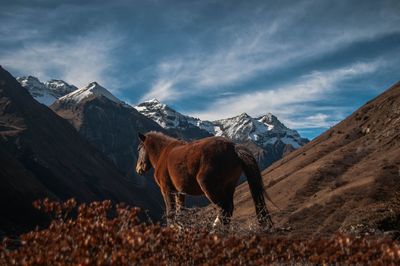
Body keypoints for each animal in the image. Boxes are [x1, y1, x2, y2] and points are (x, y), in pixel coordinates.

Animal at [136, 132, 274, 228]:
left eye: (139, 149)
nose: (138, 169)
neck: (163, 154)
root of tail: (234, 148)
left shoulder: (166, 190)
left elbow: (171, 212)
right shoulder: (180, 193)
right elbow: (180, 212)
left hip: (210, 188)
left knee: (223, 209)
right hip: (229, 188)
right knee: (229, 210)